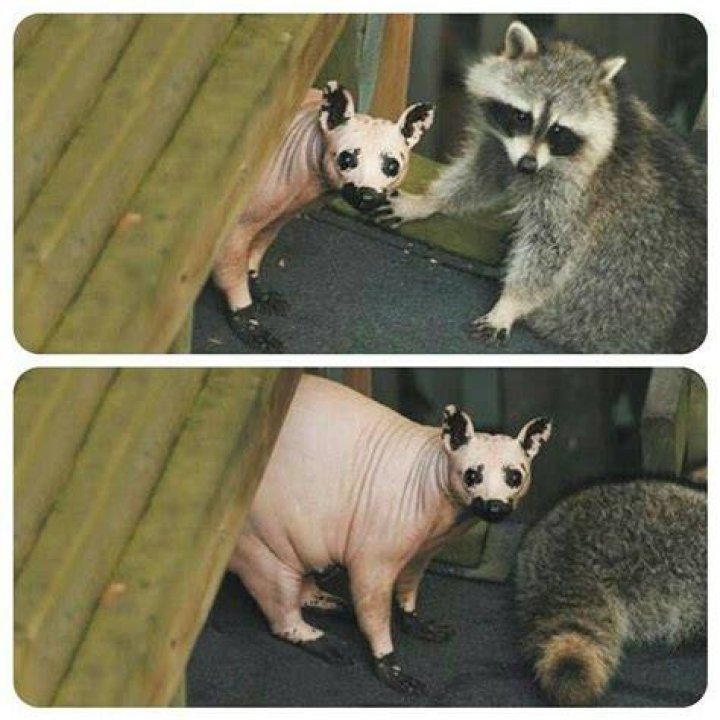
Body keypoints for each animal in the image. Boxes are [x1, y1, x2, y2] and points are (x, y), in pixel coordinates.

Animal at [371, 21, 707, 353]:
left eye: (558, 130)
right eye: (522, 116)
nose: (527, 166)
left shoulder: (577, 191)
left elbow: (552, 246)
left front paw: (510, 303)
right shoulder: (501, 146)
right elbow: (480, 176)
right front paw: (428, 201)